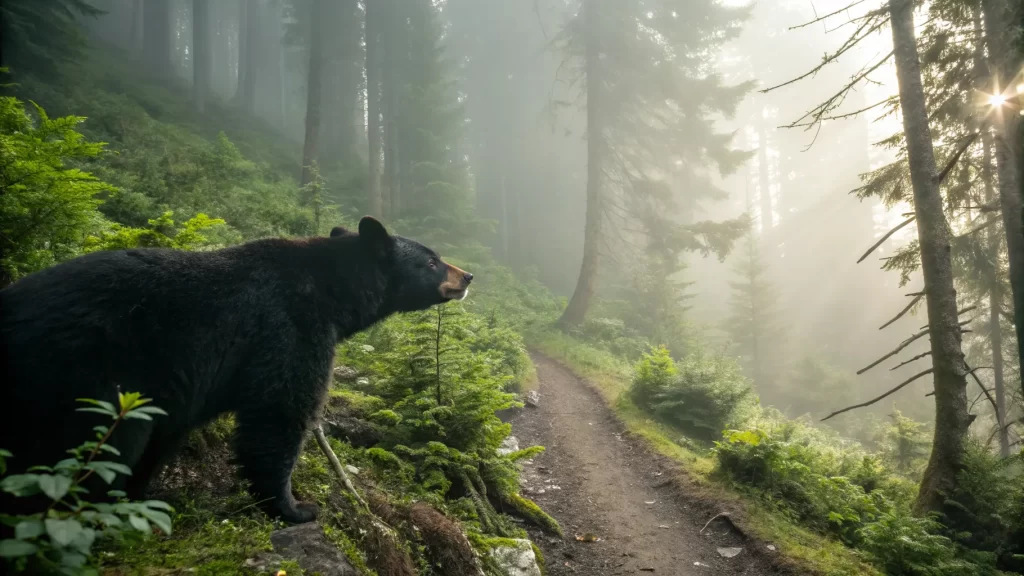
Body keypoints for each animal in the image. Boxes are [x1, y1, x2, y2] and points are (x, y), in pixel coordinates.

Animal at [0, 216, 472, 525]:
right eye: (432, 261)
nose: (467, 275)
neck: (331, 291)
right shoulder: (289, 328)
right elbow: (279, 412)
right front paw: (294, 507)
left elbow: (168, 435)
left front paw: (141, 497)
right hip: (85, 374)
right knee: (89, 448)